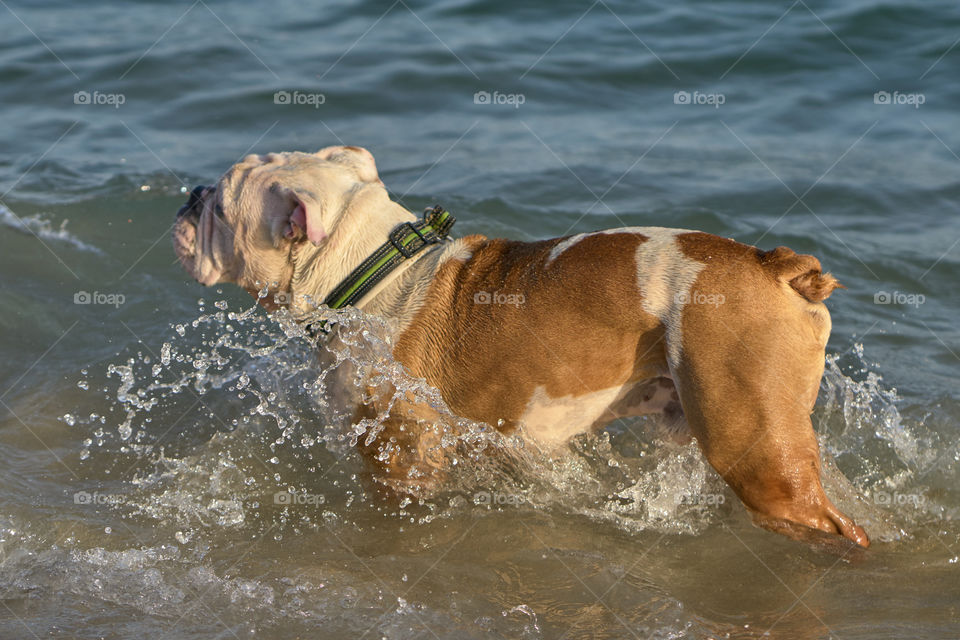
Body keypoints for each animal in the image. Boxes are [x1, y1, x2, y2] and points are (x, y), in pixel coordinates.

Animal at [171, 145, 872, 544]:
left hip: (753, 445)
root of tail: (776, 265)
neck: (372, 269)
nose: (191, 194)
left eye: (221, 206)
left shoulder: (399, 459)